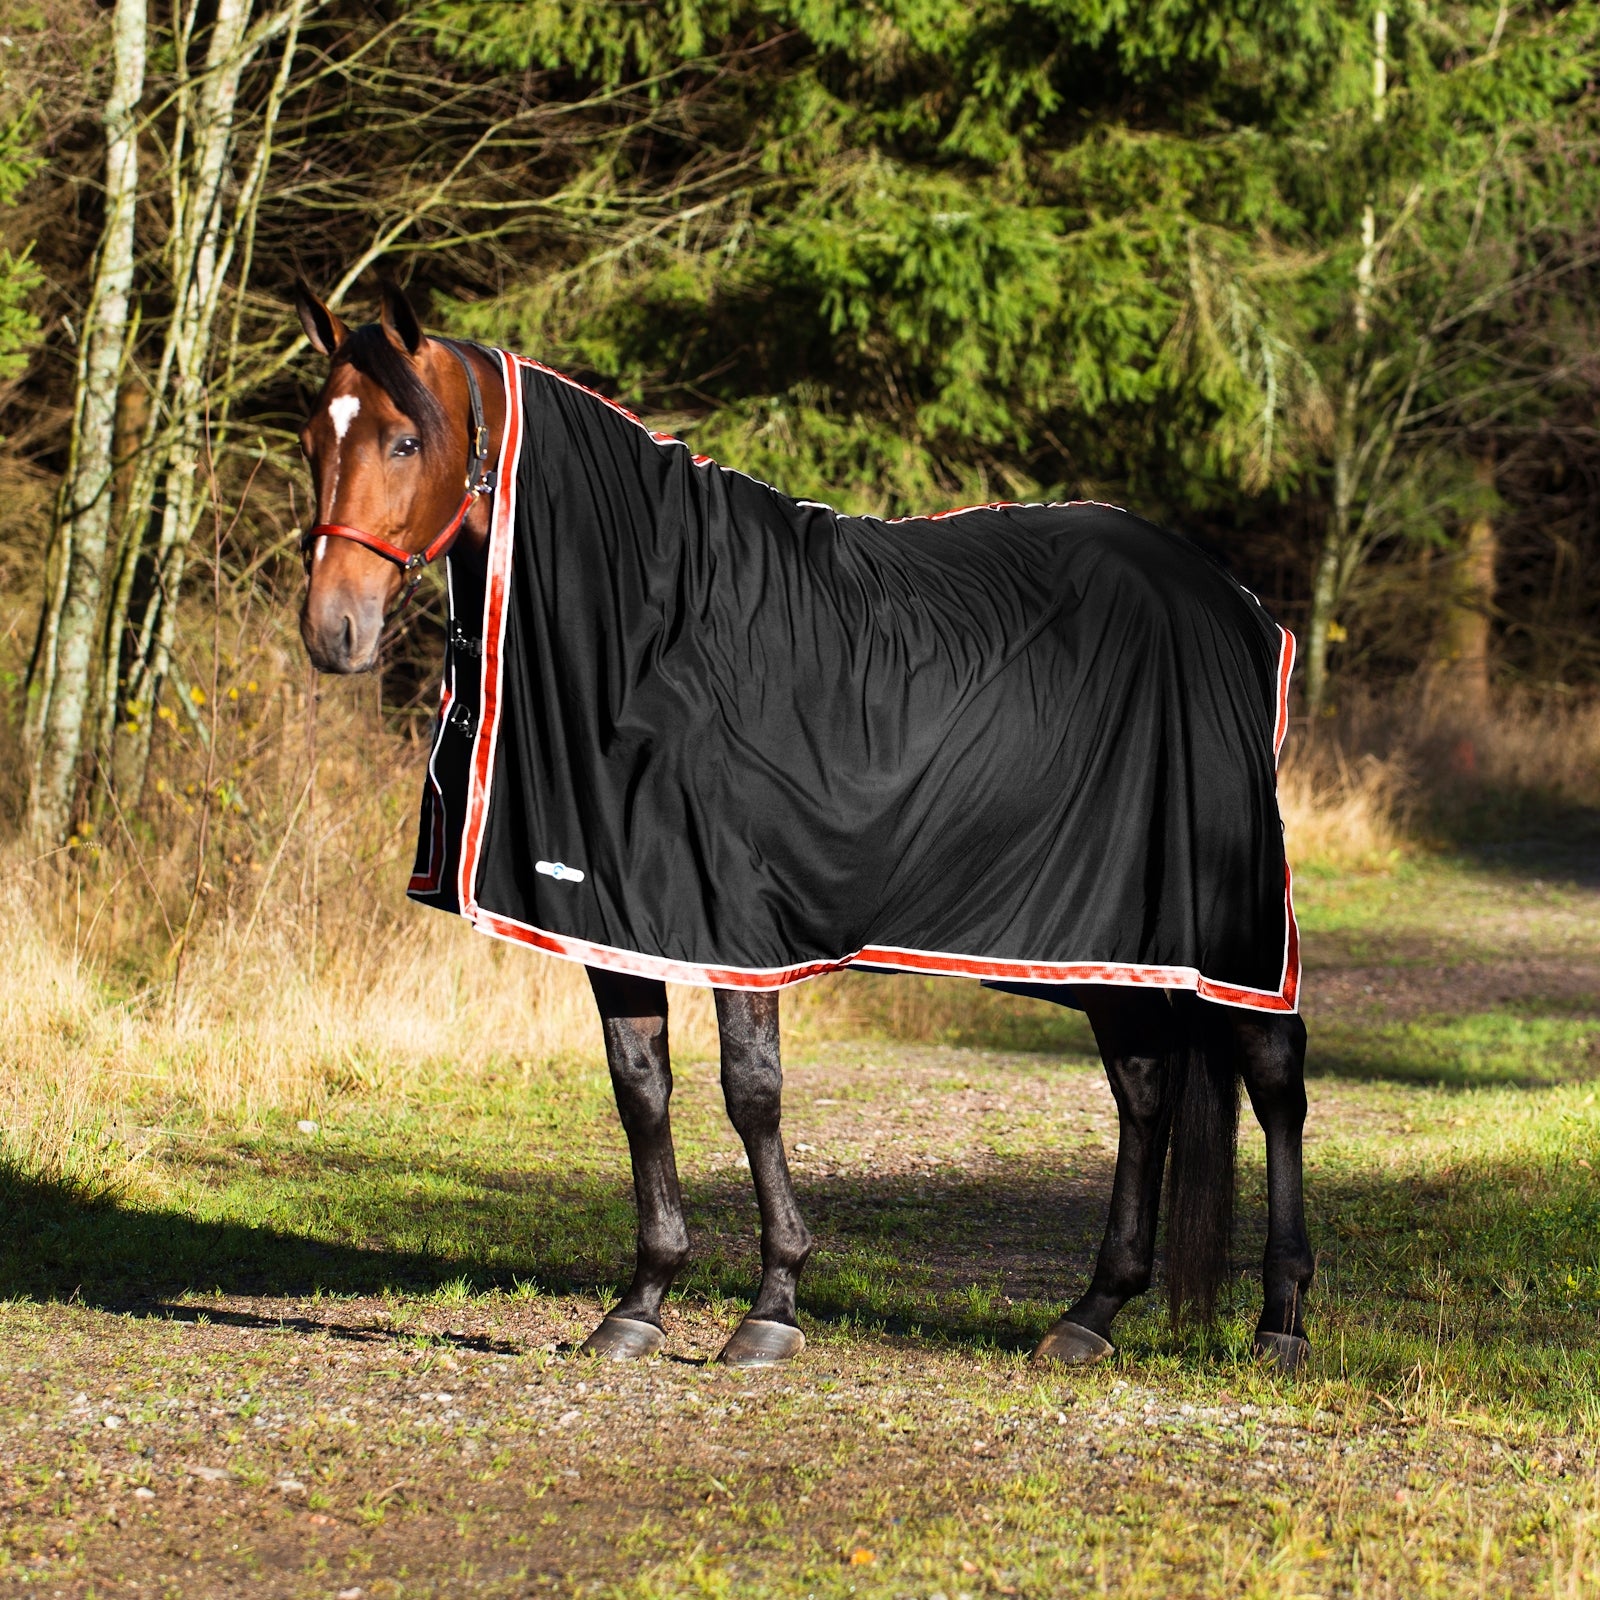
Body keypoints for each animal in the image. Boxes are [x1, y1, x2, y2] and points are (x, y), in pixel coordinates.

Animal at [291, 280, 1314, 1372]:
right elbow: (640, 1089)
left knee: (1272, 1076)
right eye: (313, 437)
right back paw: (1091, 1313)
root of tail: (1235, 603)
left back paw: (1280, 1321)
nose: (332, 630)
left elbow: (752, 1092)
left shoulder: (736, 924)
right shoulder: (614, 916)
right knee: (1145, 1085)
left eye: (405, 440)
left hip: (1232, 924)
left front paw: (771, 1306)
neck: (658, 629)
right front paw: (640, 1302)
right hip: (1107, 933)